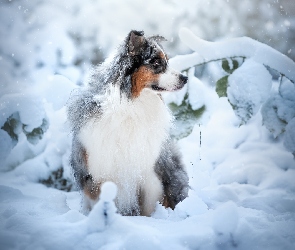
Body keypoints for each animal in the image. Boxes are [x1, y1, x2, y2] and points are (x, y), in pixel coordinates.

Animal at [67, 30, 190, 216]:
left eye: (167, 60)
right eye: (156, 62)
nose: (185, 78)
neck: (131, 107)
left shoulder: (149, 173)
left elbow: (149, 208)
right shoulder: (98, 174)